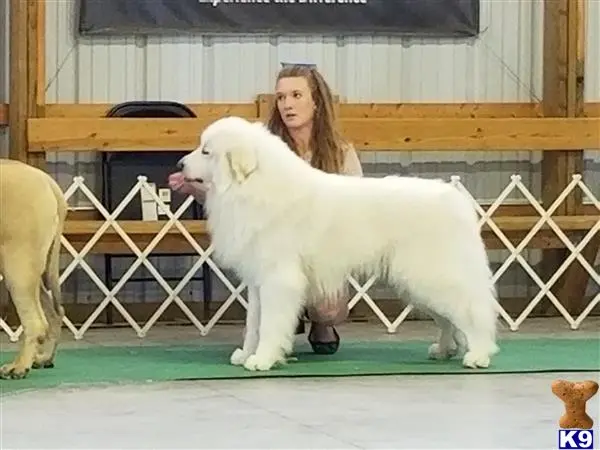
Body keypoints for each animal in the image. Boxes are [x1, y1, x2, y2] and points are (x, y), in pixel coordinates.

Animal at [0, 160, 67, 378]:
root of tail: (46, 180)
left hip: (17, 268)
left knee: (36, 322)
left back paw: (19, 367)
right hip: (29, 272)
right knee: (55, 313)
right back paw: (44, 358)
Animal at [179, 116, 502, 372]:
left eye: (206, 151)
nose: (179, 164)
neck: (252, 188)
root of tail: (455, 199)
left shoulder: (278, 280)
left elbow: (269, 324)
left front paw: (263, 359)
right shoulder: (258, 282)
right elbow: (253, 323)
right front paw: (247, 354)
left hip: (433, 277)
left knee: (472, 312)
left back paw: (479, 355)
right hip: (418, 283)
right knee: (449, 319)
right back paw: (445, 350)